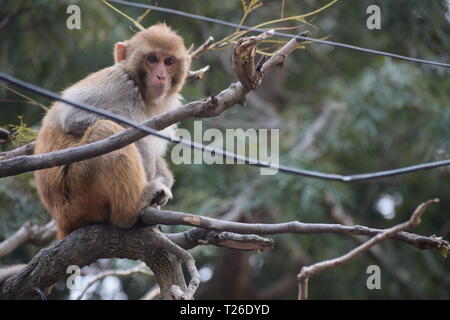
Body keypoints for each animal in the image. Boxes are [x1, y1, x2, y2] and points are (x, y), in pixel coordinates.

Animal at [33, 23, 190, 239]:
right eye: (152, 59)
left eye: (169, 61)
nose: (161, 76)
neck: (142, 94)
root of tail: (61, 219)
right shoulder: (119, 83)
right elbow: (73, 118)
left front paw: (164, 177)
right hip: (78, 193)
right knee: (106, 129)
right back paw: (131, 209)